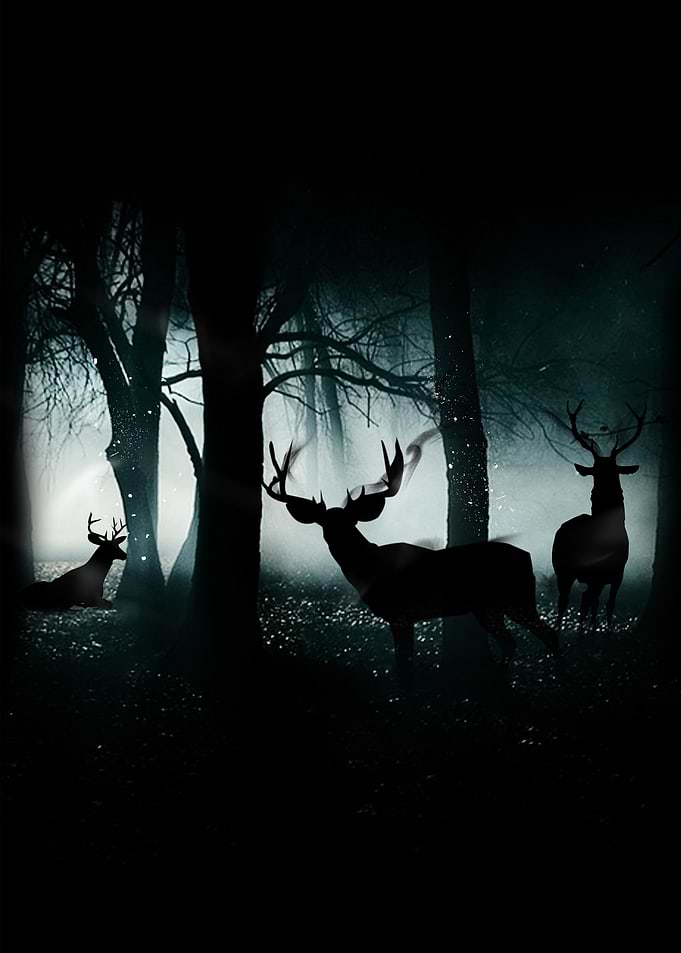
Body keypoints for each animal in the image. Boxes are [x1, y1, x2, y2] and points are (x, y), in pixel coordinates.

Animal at [263, 439, 559, 678]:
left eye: (351, 521)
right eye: (324, 523)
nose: (337, 539)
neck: (370, 569)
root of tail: (528, 557)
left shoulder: (402, 612)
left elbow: (404, 664)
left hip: (516, 598)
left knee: (546, 634)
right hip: (489, 607)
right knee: (513, 641)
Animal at [552, 401, 645, 632]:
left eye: (614, 470)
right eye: (595, 470)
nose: (602, 491)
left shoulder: (618, 573)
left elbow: (609, 606)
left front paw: (605, 632)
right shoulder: (594, 573)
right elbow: (593, 604)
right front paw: (591, 633)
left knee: (585, 600)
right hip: (561, 568)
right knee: (565, 601)